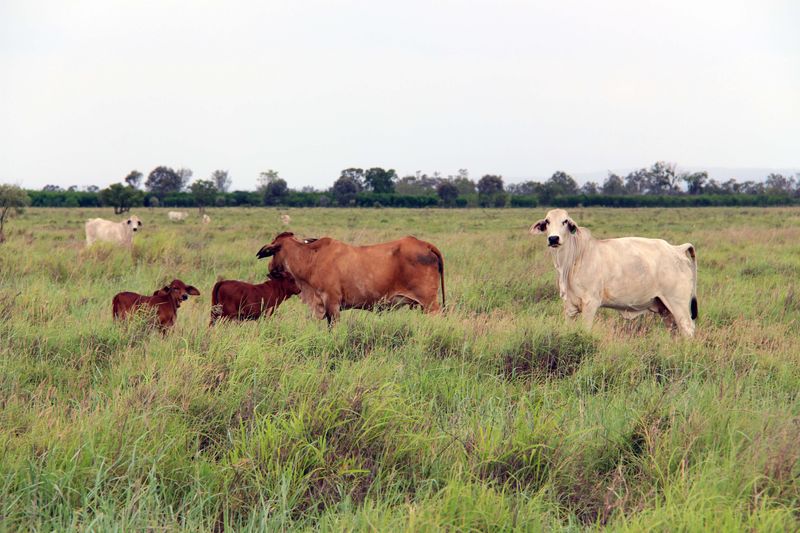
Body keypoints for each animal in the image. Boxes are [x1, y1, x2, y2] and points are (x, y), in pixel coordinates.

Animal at [256, 232, 445, 325]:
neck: (311, 259)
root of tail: (424, 244)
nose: (269, 269)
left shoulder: (332, 303)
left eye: (273, 252)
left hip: (430, 304)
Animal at [529, 209, 698, 337]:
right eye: (547, 221)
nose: (553, 238)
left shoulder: (590, 303)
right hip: (665, 309)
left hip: (679, 304)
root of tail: (677, 249)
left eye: (565, 221)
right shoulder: (569, 306)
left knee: (687, 329)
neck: (572, 261)